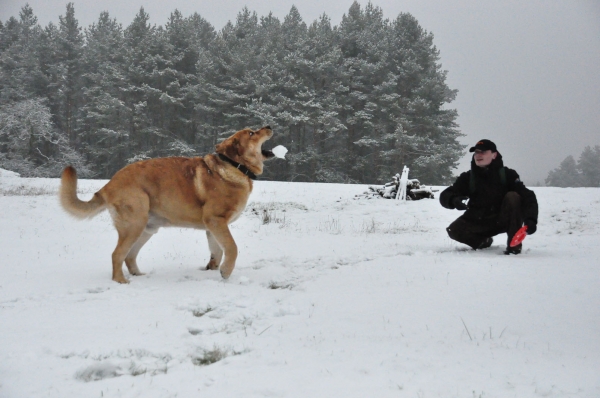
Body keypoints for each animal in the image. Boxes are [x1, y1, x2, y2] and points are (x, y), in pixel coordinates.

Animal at [58, 126, 274, 282]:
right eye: (251, 133)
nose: (269, 126)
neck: (234, 166)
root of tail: (109, 184)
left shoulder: (212, 227)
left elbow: (217, 251)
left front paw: (212, 270)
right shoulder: (216, 220)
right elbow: (232, 247)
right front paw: (226, 272)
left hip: (146, 229)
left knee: (129, 256)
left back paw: (138, 275)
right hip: (134, 224)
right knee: (117, 255)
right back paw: (121, 281)